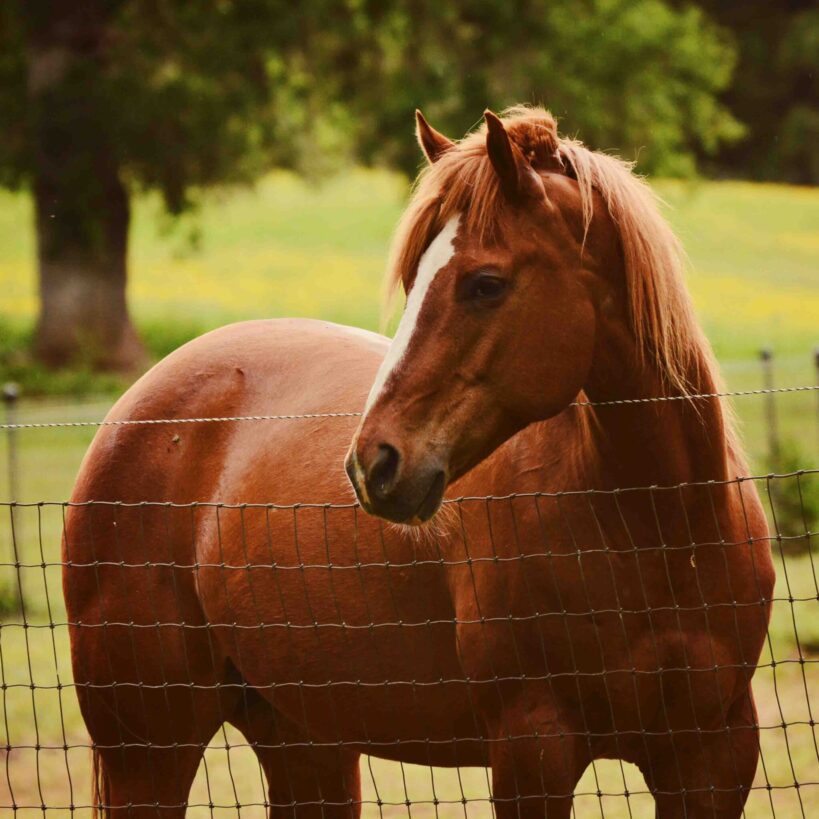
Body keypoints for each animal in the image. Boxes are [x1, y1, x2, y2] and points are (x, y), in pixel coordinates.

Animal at [63, 106, 774, 818]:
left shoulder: (714, 757)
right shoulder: (533, 750)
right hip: (148, 754)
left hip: (305, 746)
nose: (373, 464)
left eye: (485, 285)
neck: (657, 532)